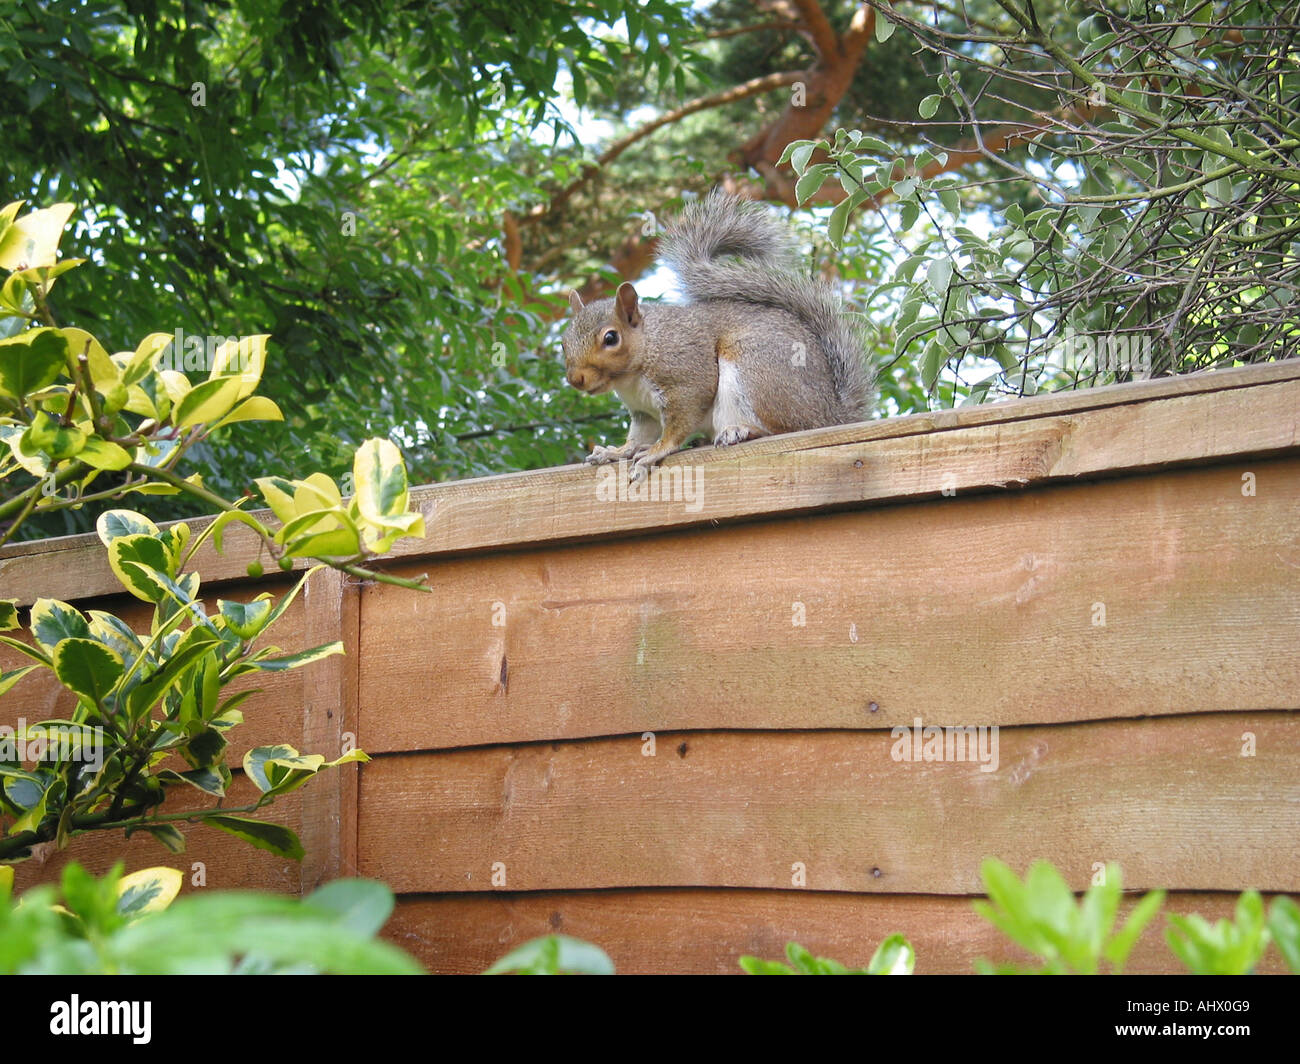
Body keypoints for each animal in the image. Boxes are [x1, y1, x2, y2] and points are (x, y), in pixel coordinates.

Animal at [563, 189, 875, 482]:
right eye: (564, 343)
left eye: (611, 338)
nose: (576, 379)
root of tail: (833, 414)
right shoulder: (642, 412)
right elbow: (638, 436)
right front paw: (615, 452)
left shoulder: (686, 378)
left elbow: (678, 425)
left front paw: (654, 452)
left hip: (757, 369)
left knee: (782, 427)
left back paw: (741, 430)